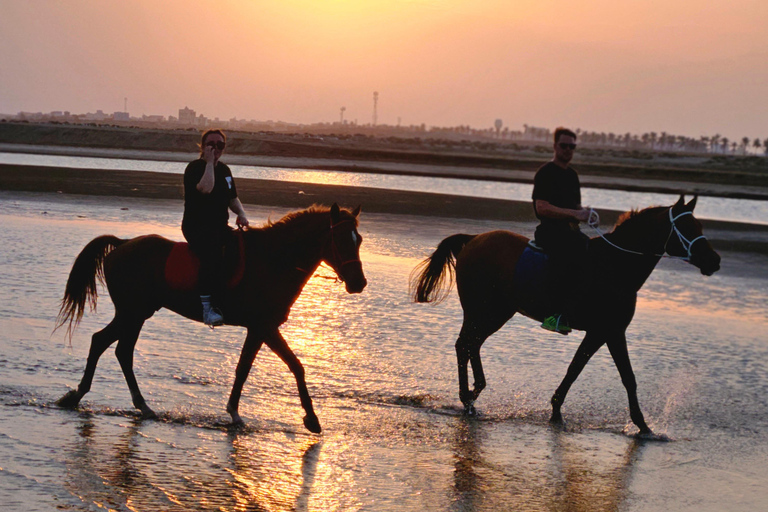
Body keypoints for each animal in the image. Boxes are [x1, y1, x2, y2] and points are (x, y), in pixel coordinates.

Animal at [54, 202, 366, 434]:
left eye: (359, 240)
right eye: (340, 239)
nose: (358, 283)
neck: (275, 260)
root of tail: (123, 244)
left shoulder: (259, 329)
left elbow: (248, 369)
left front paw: (237, 414)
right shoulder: (264, 327)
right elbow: (292, 366)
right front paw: (310, 419)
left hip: (136, 314)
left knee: (114, 347)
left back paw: (124, 403)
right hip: (133, 313)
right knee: (109, 346)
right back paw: (91, 398)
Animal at [414, 196, 720, 436]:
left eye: (700, 226)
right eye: (685, 227)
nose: (714, 261)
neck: (616, 266)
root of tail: (473, 240)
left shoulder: (603, 333)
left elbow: (581, 370)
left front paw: (558, 411)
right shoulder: (610, 331)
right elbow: (618, 376)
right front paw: (641, 425)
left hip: (497, 312)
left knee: (472, 345)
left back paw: (474, 394)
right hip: (483, 309)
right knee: (464, 345)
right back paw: (467, 398)